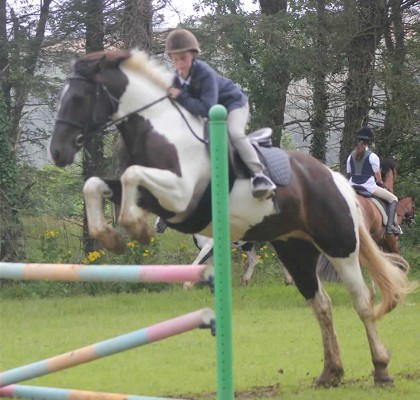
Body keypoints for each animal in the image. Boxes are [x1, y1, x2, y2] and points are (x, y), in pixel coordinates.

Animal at [49, 49, 417, 387]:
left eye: (78, 98)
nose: (58, 152)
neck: (157, 130)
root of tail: (337, 181)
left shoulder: (180, 195)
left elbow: (131, 175)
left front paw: (135, 228)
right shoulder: (157, 197)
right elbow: (96, 185)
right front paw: (113, 236)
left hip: (339, 244)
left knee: (362, 301)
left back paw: (381, 369)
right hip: (295, 249)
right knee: (322, 304)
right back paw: (330, 372)